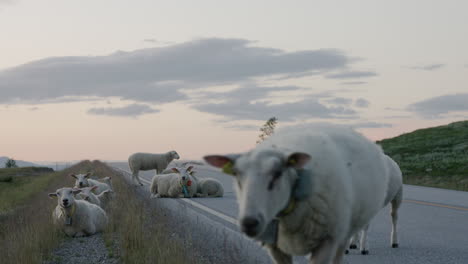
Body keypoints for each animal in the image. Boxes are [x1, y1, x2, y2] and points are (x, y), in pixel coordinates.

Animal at [205, 124, 392, 264]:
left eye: (278, 173)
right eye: (236, 174)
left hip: (344, 230)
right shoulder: (275, 246)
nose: (249, 222)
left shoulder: (327, 241)